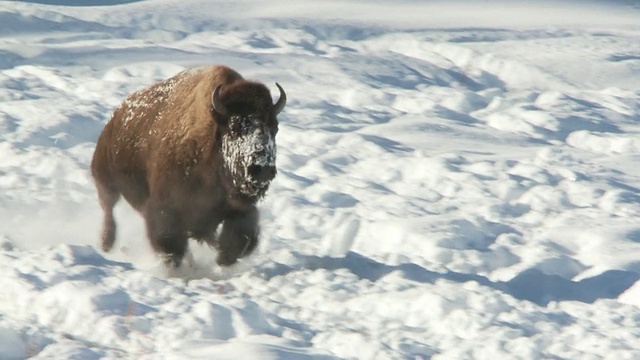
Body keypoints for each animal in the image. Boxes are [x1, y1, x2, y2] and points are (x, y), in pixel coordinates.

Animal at [91, 64, 286, 268]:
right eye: (234, 127)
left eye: (274, 127)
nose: (263, 169)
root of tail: (115, 116)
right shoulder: (166, 210)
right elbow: (170, 244)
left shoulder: (240, 210)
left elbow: (239, 237)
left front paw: (223, 259)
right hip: (105, 180)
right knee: (108, 209)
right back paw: (106, 244)